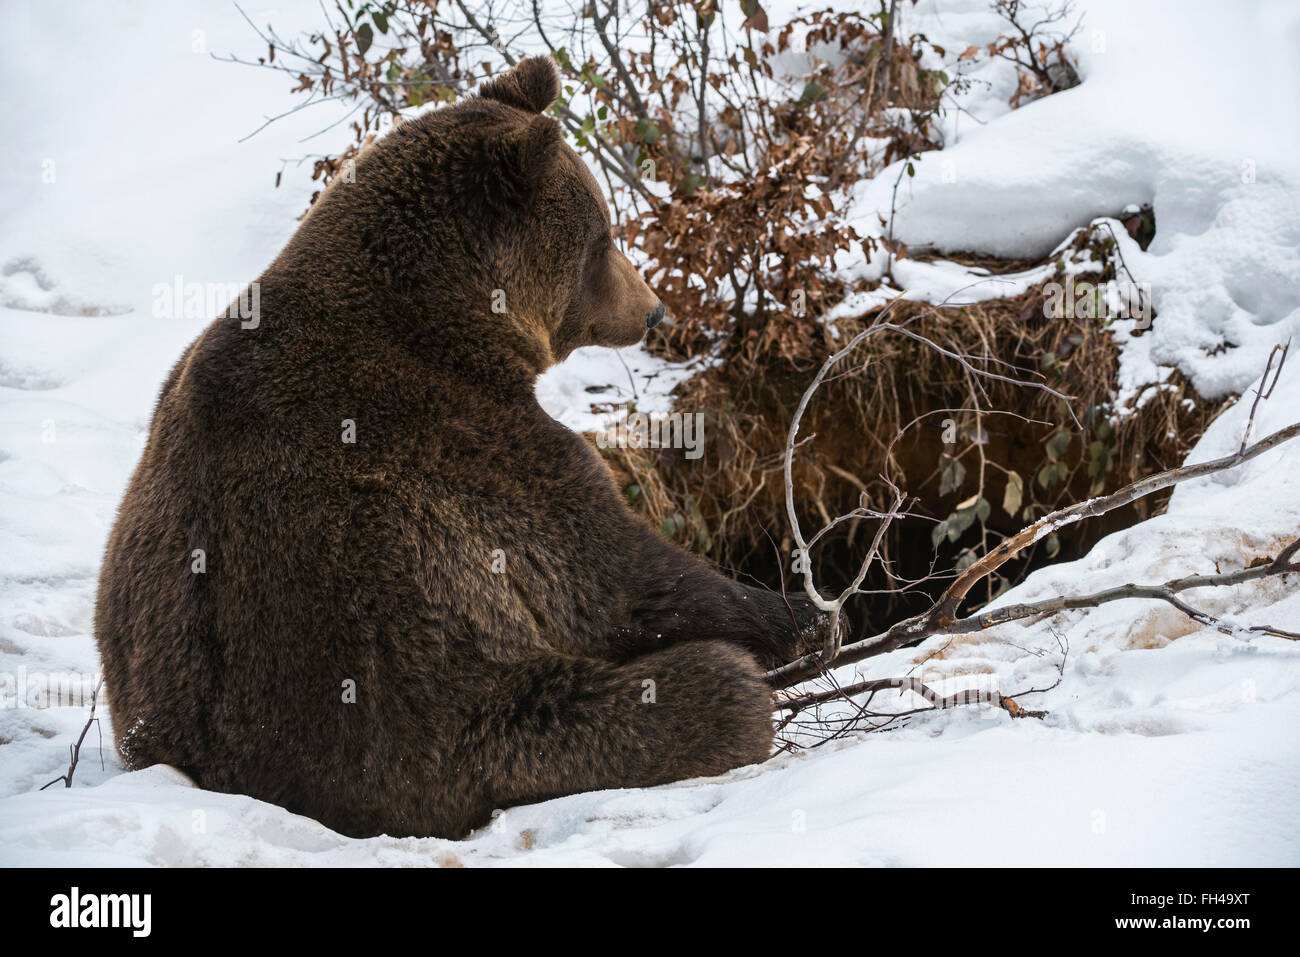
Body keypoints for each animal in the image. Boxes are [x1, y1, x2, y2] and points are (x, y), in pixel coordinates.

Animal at [96, 54, 837, 837]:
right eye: (602, 235)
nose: (654, 309)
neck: (450, 321)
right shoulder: (479, 443)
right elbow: (618, 574)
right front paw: (802, 612)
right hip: (426, 696)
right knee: (695, 691)